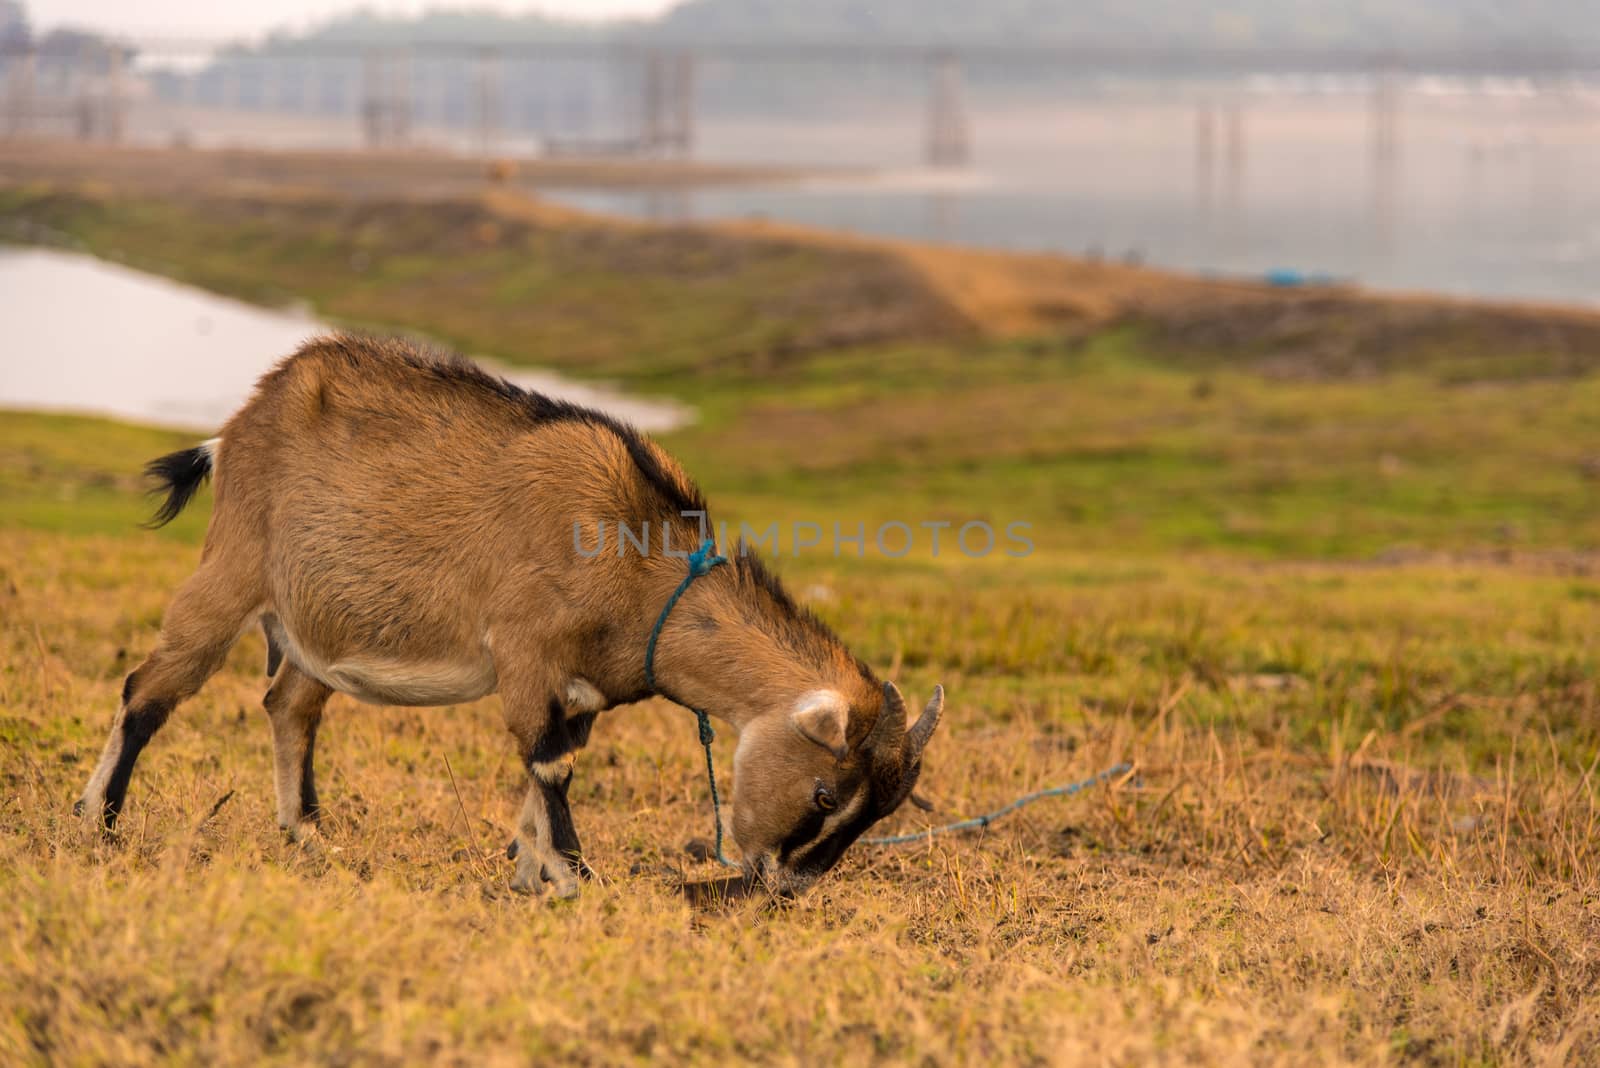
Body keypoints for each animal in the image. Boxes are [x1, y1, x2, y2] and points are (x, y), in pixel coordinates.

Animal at [75, 334, 940, 895]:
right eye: (826, 795)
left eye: (883, 808)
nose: (787, 886)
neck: (641, 560)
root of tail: (237, 427)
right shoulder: (527, 653)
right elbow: (548, 764)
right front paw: (578, 876)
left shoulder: (581, 690)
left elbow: (547, 766)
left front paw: (532, 873)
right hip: (231, 570)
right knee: (149, 689)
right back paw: (100, 821)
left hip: (319, 628)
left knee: (288, 704)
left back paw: (310, 835)